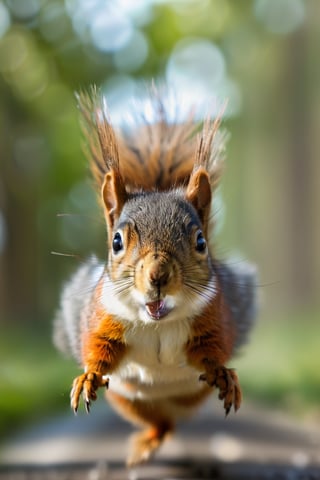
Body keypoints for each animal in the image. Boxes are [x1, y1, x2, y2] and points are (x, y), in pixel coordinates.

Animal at [53, 86, 258, 464]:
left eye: (201, 241)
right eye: (117, 241)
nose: (158, 275)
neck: (157, 322)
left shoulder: (212, 319)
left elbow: (211, 350)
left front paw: (223, 374)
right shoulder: (104, 319)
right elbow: (98, 350)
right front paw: (88, 376)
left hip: (188, 398)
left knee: (170, 424)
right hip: (131, 403)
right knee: (160, 424)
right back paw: (147, 442)